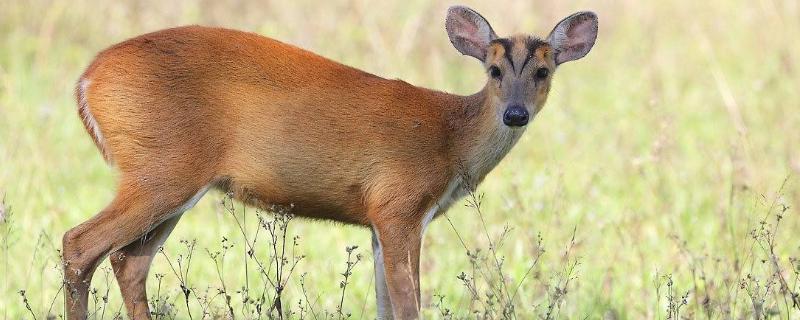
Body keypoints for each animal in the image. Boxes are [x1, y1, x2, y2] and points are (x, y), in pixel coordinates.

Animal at [62, 5, 596, 320]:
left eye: (544, 71)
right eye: (494, 69)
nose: (515, 113)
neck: (449, 137)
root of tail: (87, 81)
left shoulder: (381, 222)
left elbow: (386, 306)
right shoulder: (399, 204)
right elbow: (408, 305)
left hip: (172, 180)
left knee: (128, 261)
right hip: (162, 170)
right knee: (81, 243)